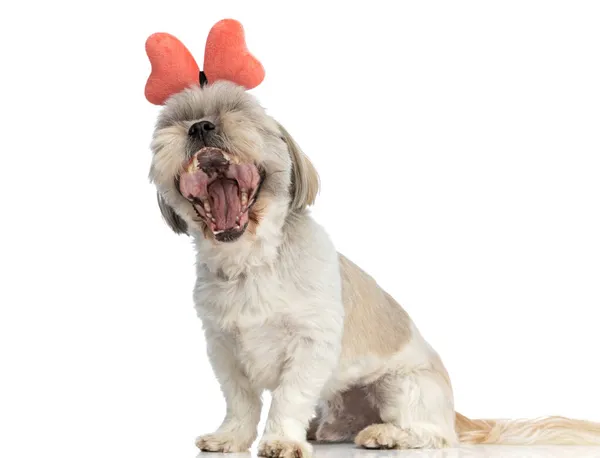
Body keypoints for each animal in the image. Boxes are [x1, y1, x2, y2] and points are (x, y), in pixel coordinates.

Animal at [149, 80, 600, 456]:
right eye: (175, 122)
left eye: (239, 112)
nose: (201, 126)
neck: (253, 262)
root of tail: (453, 411)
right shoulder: (223, 347)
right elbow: (240, 401)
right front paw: (231, 438)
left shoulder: (310, 345)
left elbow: (288, 398)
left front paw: (280, 440)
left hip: (400, 385)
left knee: (434, 434)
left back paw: (386, 435)